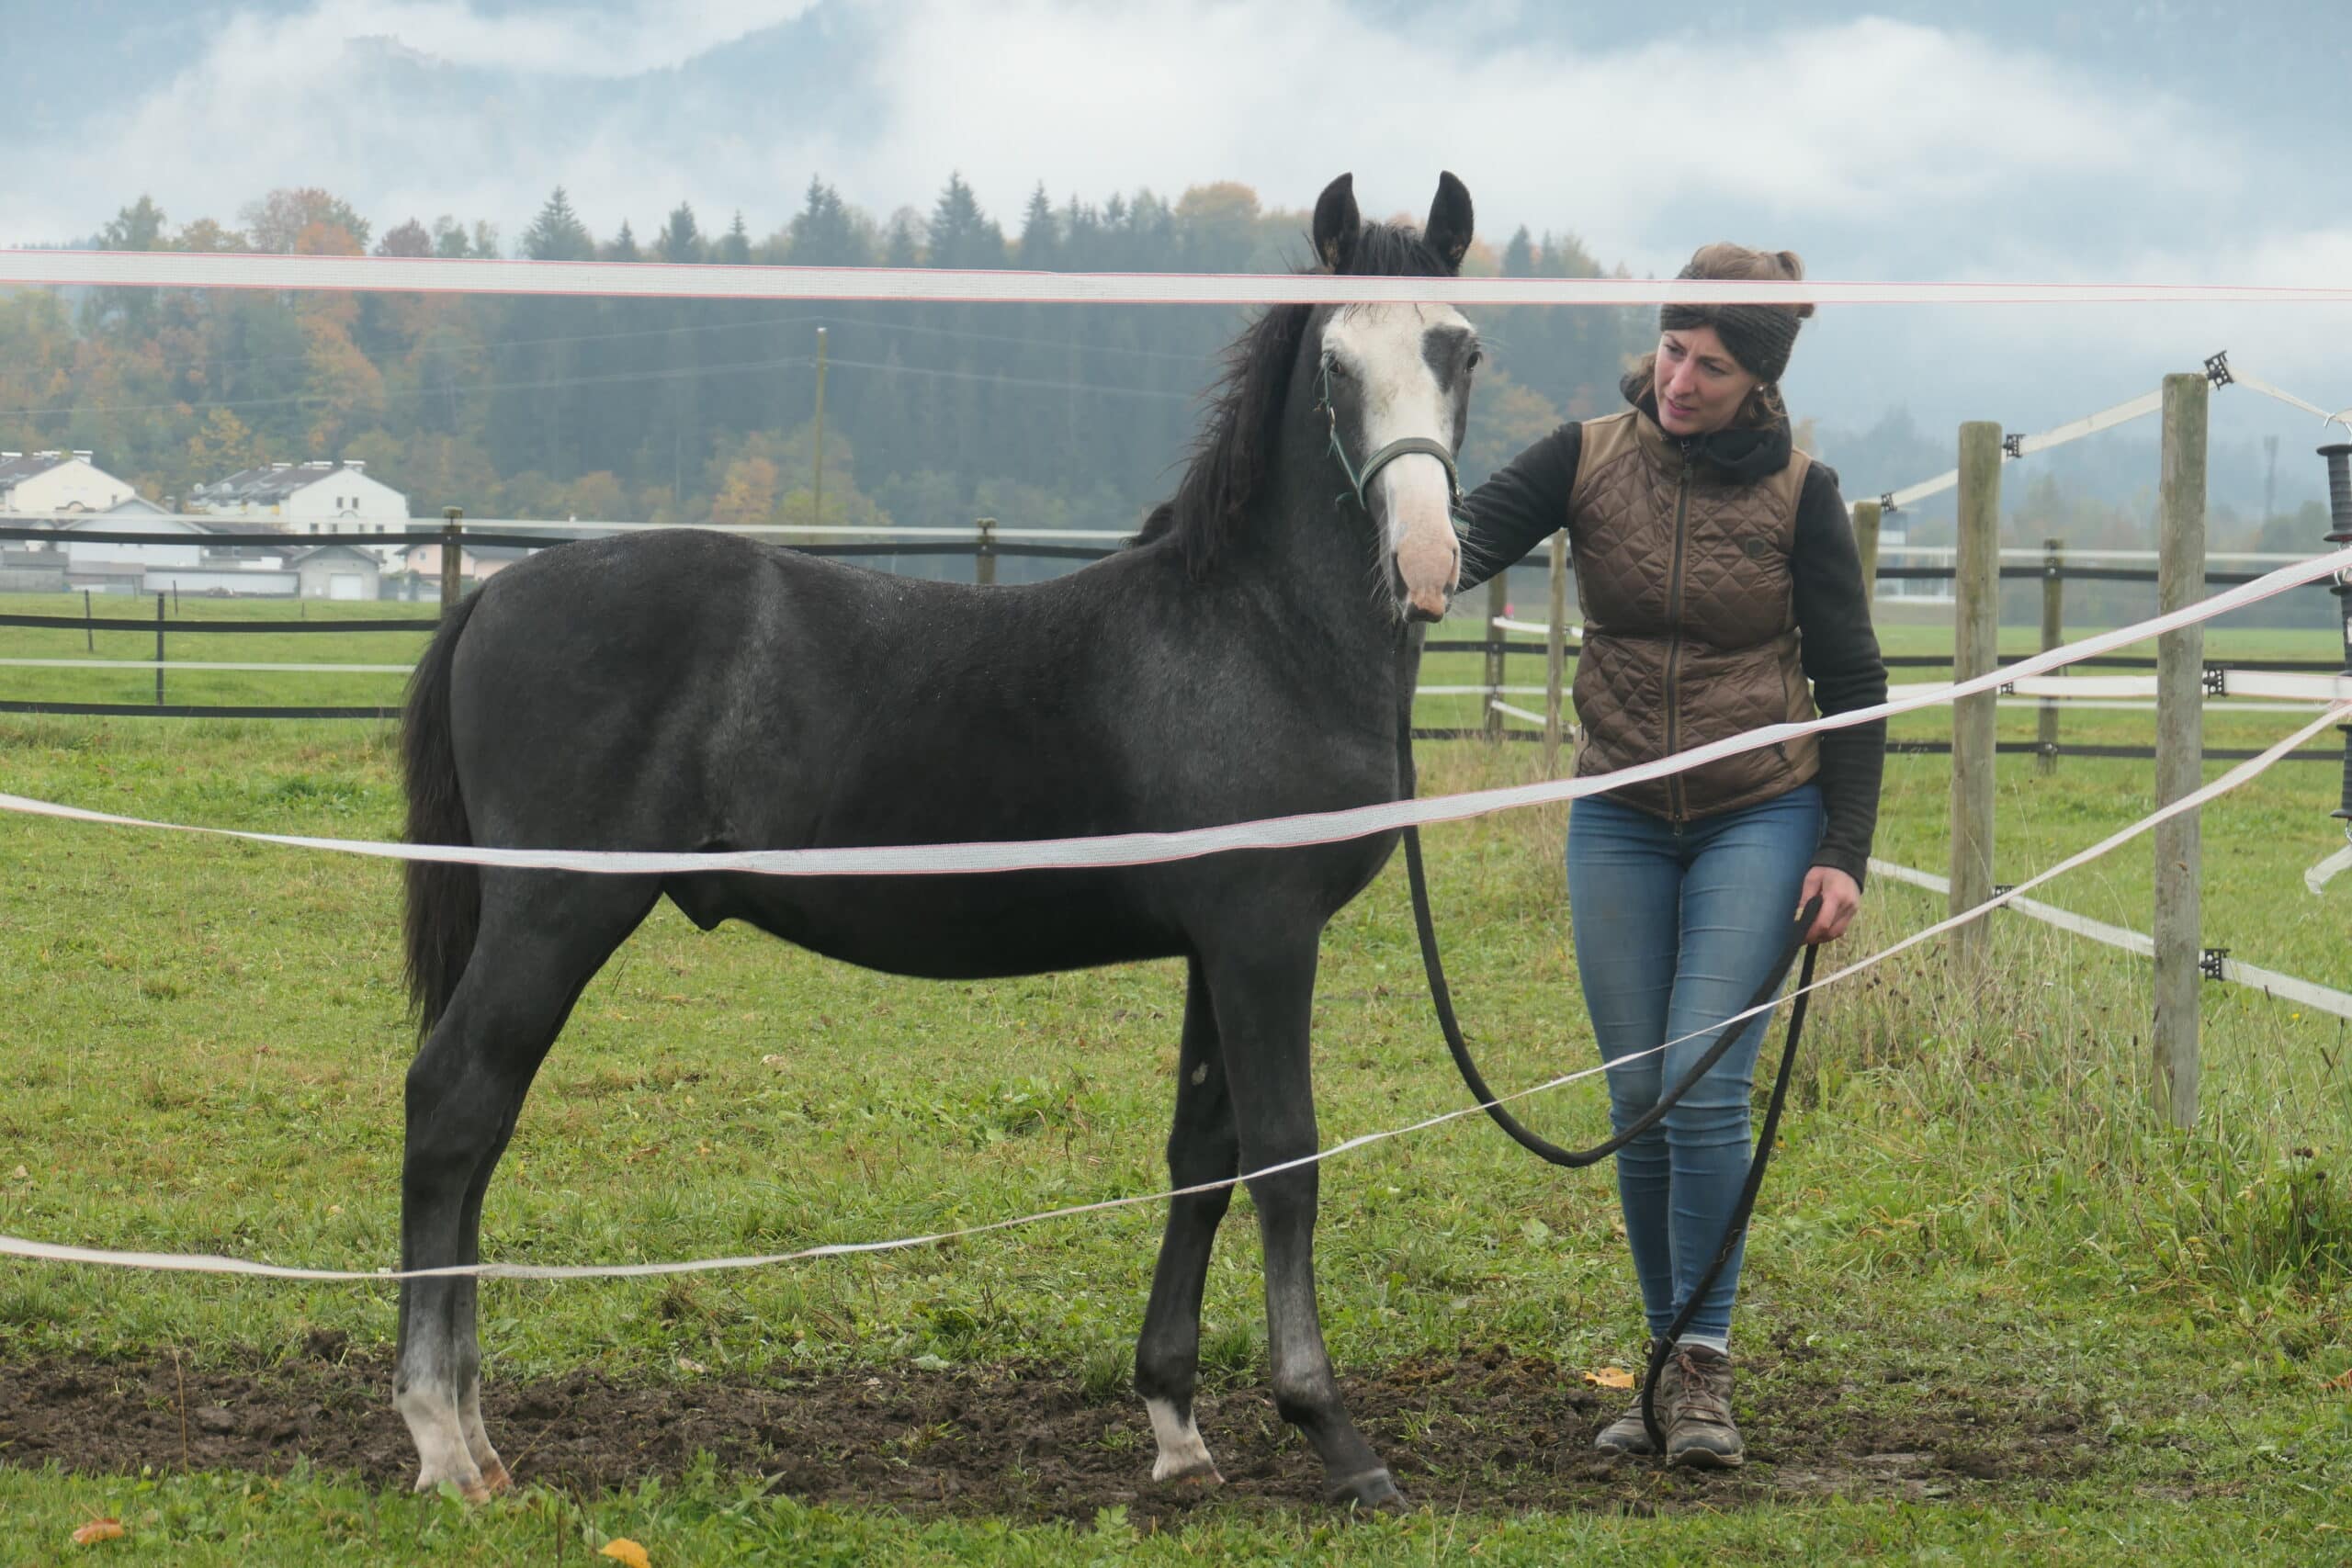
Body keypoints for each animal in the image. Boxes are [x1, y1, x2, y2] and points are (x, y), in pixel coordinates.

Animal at [394, 171, 1482, 1511]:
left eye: (1462, 349)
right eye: (1336, 362)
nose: (1426, 560)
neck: (1257, 632)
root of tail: (492, 592)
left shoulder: (1214, 947)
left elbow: (1201, 1155)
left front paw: (1175, 1424)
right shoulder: (1266, 936)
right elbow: (1287, 1159)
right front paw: (1333, 1432)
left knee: (485, 1120)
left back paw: (477, 1431)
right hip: (553, 912)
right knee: (454, 1103)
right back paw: (440, 1436)